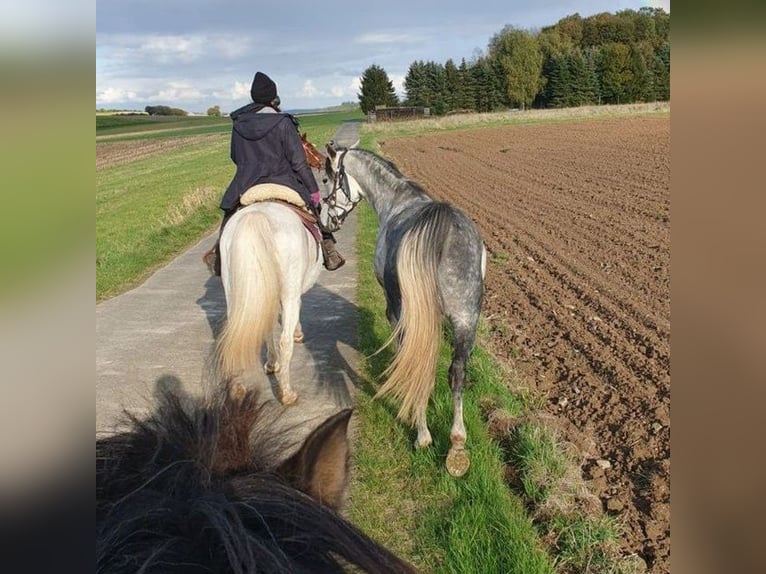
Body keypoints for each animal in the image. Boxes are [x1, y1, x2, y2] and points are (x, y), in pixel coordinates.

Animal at [322, 143, 486, 477]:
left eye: (326, 178)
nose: (324, 221)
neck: (396, 199)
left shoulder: (395, 309)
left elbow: (402, 351)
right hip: (466, 317)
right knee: (457, 372)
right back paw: (456, 446)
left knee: (419, 364)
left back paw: (422, 435)